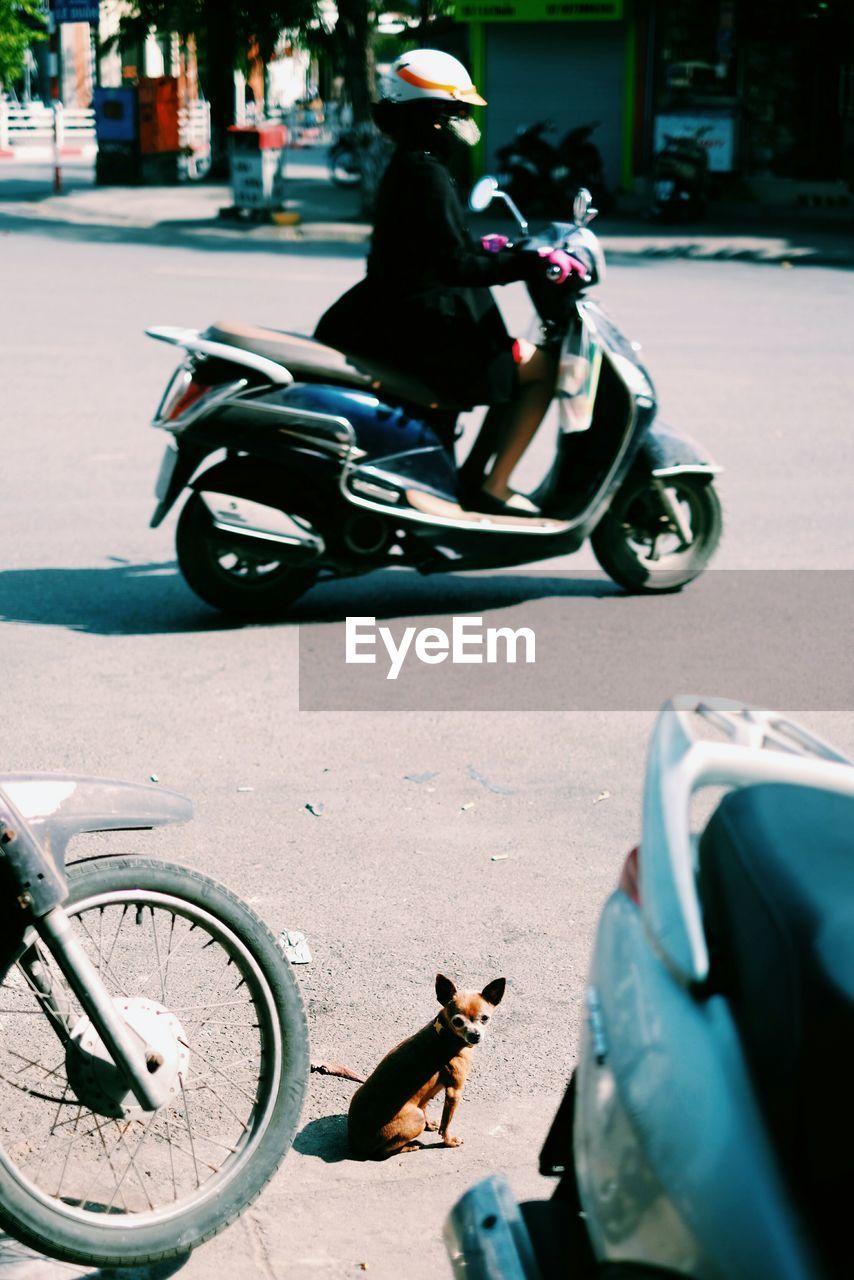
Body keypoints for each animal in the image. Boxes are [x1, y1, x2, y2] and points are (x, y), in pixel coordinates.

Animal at [348, 972, 507, 1167]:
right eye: (458, 1021)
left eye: (485, 1018)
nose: (475, 1035)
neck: (445, 1035)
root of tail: (355, 1144)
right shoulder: (454, 1093)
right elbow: (446, 1123)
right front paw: (449, 1141)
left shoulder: (427, 1093)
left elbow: (426, 1106)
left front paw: (430, 1124)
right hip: (414, 1117)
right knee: (382, 1153)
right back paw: (410, 1146)